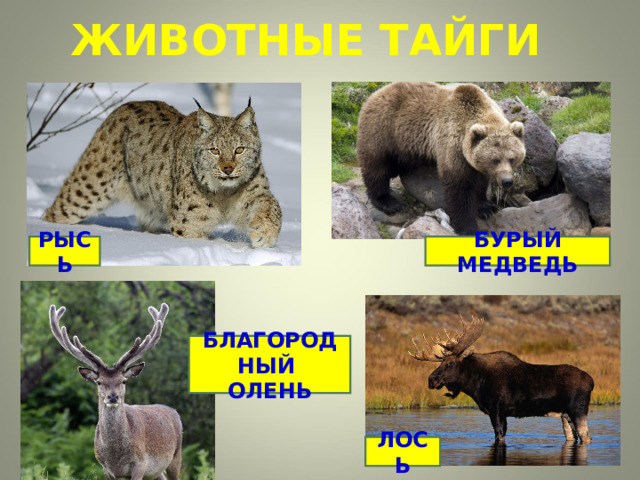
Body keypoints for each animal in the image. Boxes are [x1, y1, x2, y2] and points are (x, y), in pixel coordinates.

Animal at [49, 303, 182, 480]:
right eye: (99, 382)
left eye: (123, 381)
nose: (113, 397)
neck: (115, 456)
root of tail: (174, 412)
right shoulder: (106, 468)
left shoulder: (139, 463)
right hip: (156, 472)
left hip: (175, 457)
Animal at [357, 82, 526, 235]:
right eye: (495, 160)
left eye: (512, 158)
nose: (507, 181)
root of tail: (375, 93)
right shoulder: (453, 146)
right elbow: (458, 188)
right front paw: (467, 227)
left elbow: (479, 182)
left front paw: (487, 208)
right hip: (383, 129)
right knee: (376, 166)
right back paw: (387, 201)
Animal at [409, 317, 594, 445]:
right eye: (440, 362)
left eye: (450, 363)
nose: (431, 380)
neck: (476, 384)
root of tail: (591, 381)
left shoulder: (497, 410)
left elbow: (500, 437)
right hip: (565, 415)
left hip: (577, 410)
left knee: (586, 437)